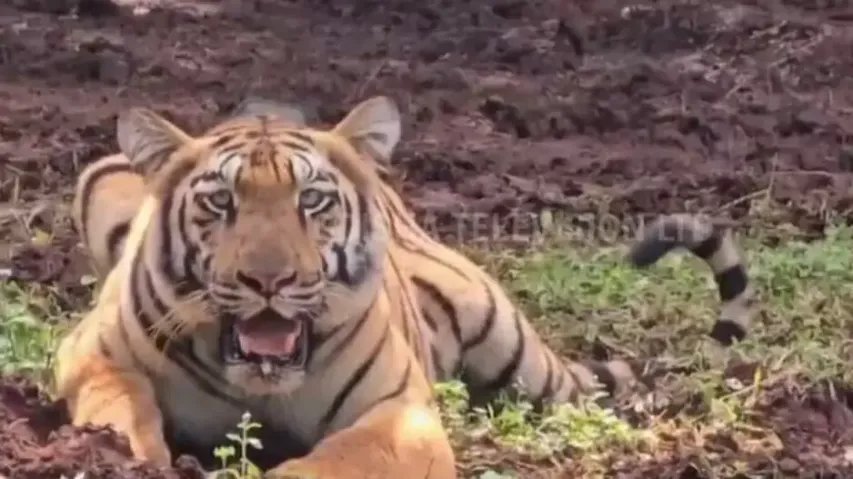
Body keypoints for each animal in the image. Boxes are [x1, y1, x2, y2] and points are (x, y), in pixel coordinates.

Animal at [56, 95, 756, 478]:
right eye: (220, 202)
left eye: (311, 200)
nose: (269, 280)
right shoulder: (90, 352)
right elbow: (119, 406)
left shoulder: (402, 410)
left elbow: (339, 462)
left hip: (515, 351)